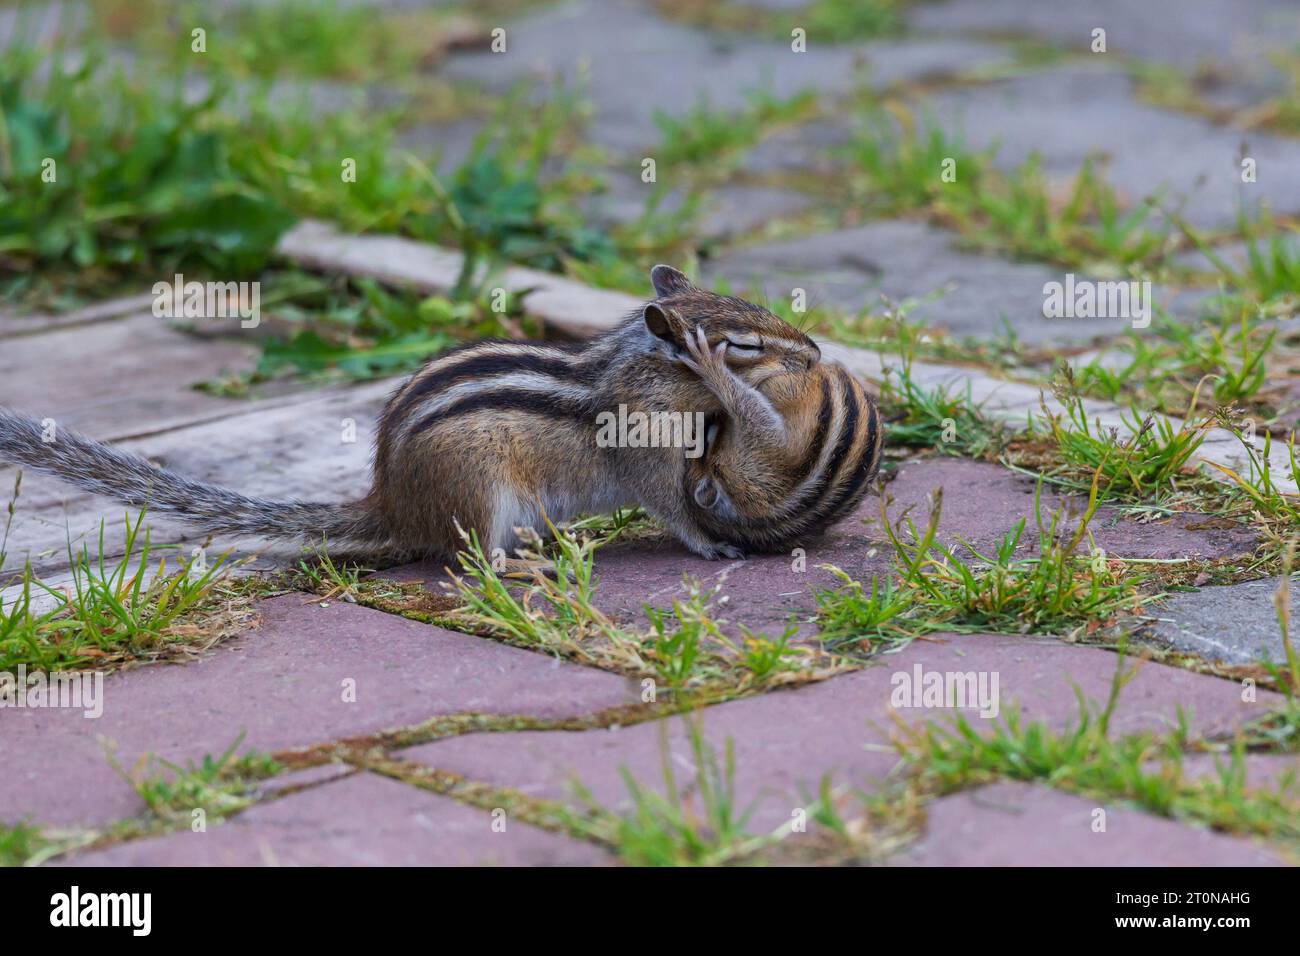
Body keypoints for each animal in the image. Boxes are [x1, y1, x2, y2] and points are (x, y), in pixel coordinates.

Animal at [0, 265, 840, 563]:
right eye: (740, 345)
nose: (815, 350)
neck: (639, 372)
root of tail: (391, 505)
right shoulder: (643, 452)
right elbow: (672, 508)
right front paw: (712, 542)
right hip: (482, 489)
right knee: (473, 559)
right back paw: (526, 565)